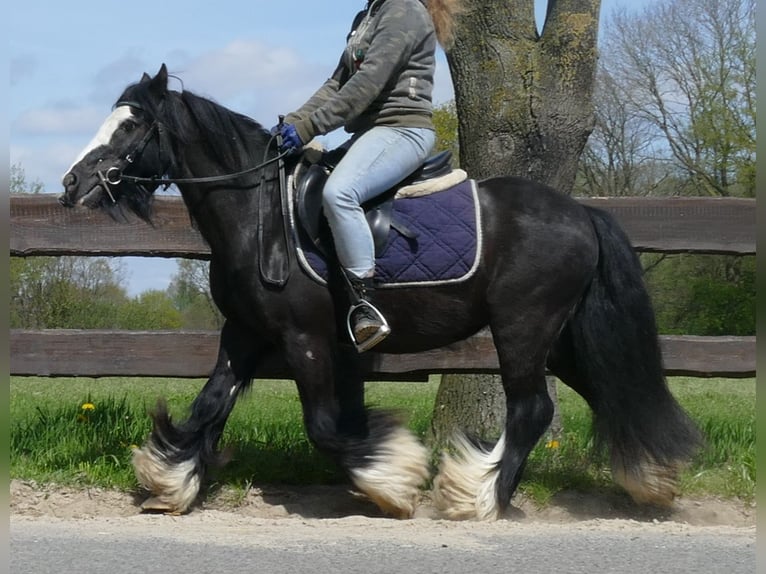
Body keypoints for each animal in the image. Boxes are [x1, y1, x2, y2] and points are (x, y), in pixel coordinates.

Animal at [60, 65, 704, 520]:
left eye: (131, 125)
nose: (72, 183)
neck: (257, 214)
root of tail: (580, 213)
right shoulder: (244, 332)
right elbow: (210, 405)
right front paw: (171, 483)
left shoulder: (305, 339)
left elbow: (324, 427)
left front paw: (391, 479)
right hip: (562, 336)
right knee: (610, 390)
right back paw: (650, 479)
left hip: (523, 328)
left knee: (532, 409)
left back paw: (481, 498)